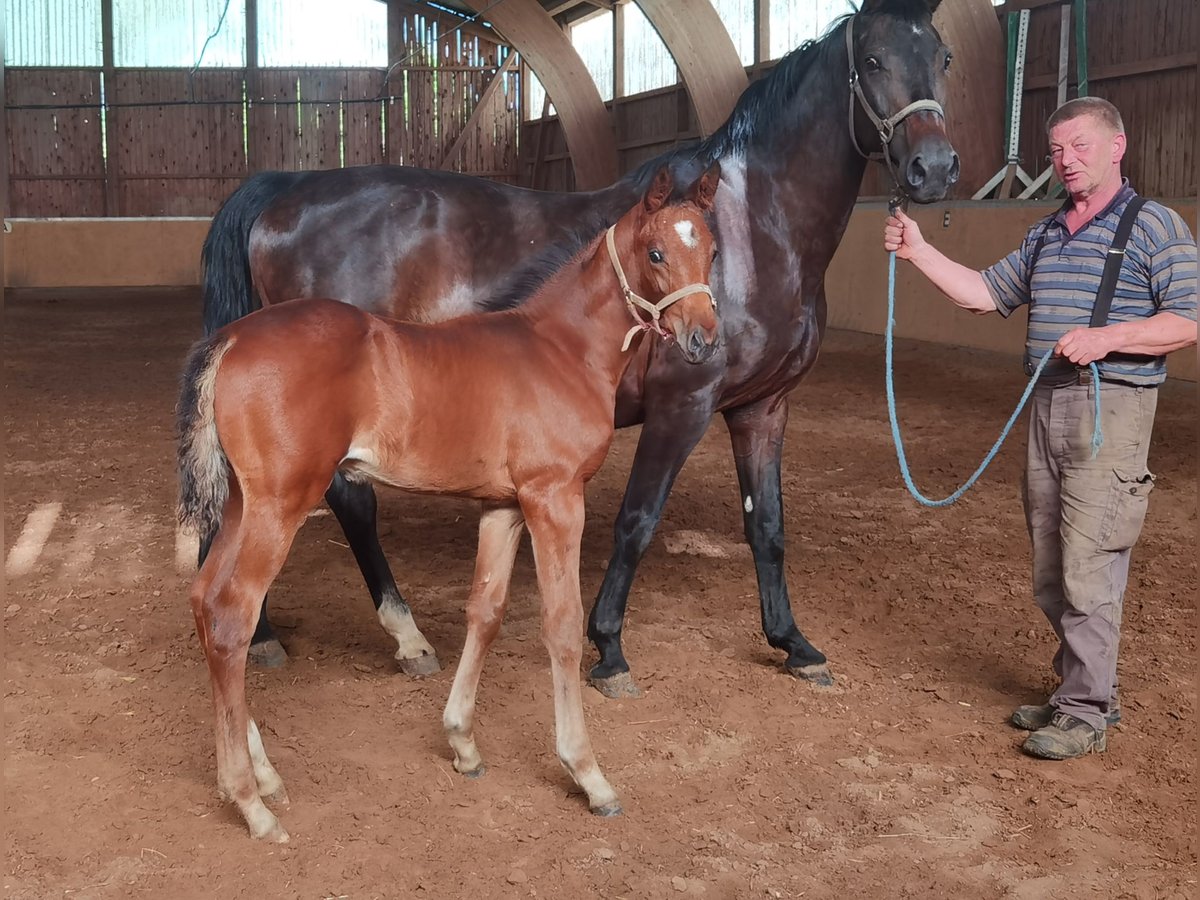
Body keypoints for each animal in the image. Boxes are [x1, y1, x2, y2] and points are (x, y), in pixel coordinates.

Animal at [175, 165, 720, 844]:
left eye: (713, 250)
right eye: (655, 253)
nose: (704, 339)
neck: (560, 349)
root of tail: (229, 339)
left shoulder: (504, 506)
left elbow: (484, 611)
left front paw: (462, 743)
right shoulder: (555, 498)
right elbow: (560, 625)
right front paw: (588, 775)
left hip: (241, 504)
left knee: (204, 601)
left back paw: (263, 773)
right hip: (279, 504)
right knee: (232, 617)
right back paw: (251, 801)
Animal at [201, 0, 960, 696]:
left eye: (943, 56)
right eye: (872, 60)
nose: (933, 167)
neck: (750, 229)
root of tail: (286, 189)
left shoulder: (762, 408)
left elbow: (768, 527)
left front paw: (794, 644)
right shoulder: (683, 404)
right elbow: (636, 522)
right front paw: (609, 648)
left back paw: (268, 632)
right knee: (344, 504)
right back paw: (397, 635)